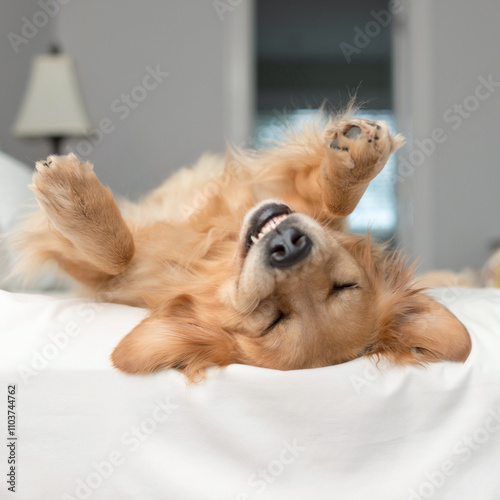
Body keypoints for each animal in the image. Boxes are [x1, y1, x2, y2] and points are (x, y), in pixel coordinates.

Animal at [18, 114, 472, 378]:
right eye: (347, 286)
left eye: (269, 318)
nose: (288, 244)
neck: (216, 242)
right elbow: (335, 200)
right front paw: (355, 157)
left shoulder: (102, 280)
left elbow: (118, 255)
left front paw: (68, 193)